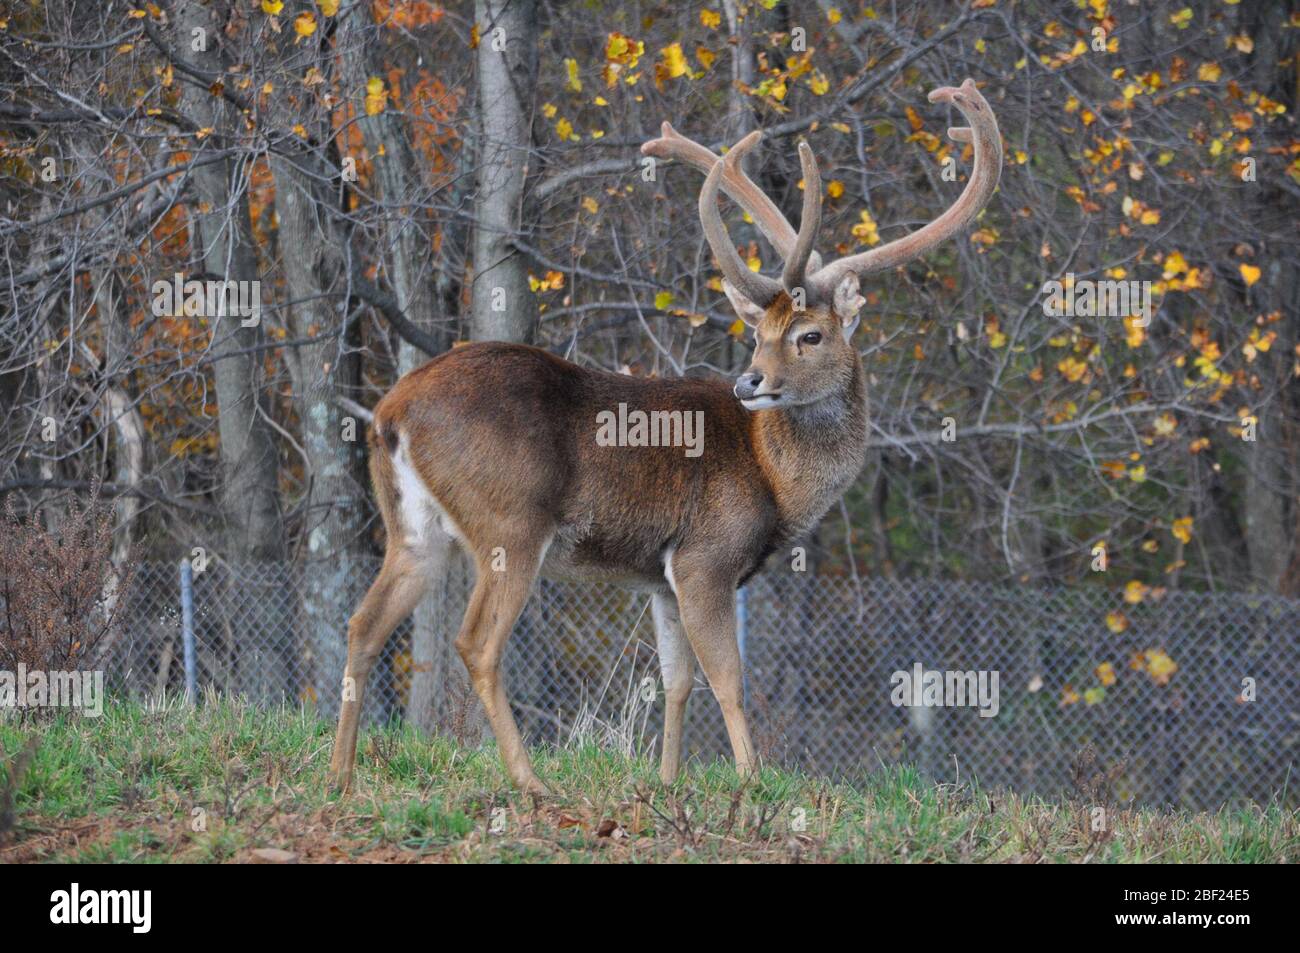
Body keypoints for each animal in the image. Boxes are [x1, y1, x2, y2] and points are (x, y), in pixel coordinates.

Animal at [330, 79, 998, 795]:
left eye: (808, 334)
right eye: (762, 333)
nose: (749, 381)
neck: (774, 480)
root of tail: (392, 412)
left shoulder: (659, 576)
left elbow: (676, 681)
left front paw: (668, 781)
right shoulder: (707, 554)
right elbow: (727, 680)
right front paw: (752, 783)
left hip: (414, 529)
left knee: (363, 624)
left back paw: (341, 774)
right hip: (510, 521)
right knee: (476, 642)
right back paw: (531, 782)